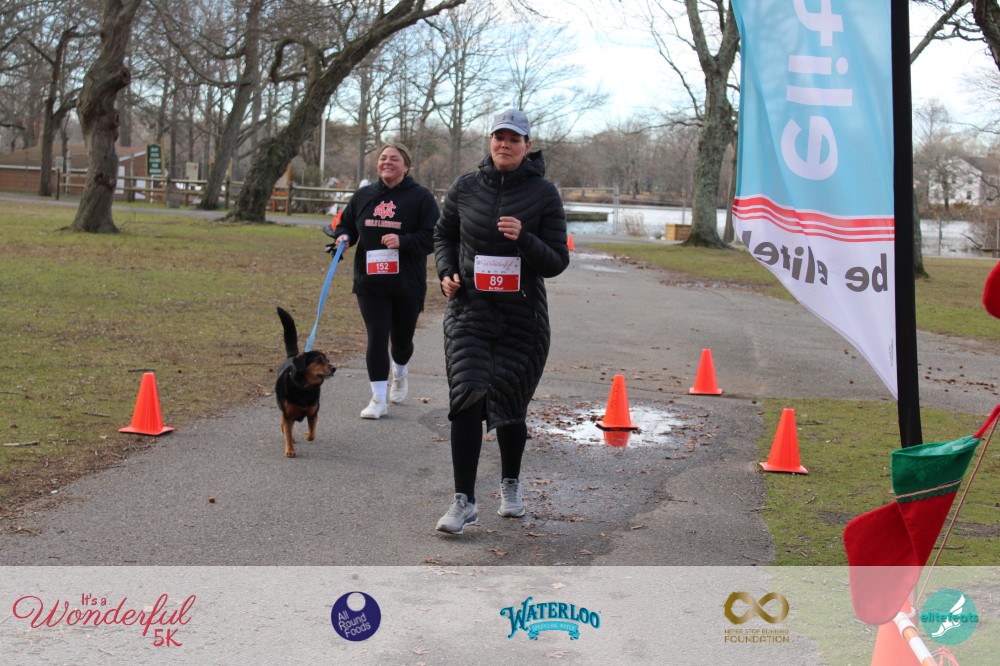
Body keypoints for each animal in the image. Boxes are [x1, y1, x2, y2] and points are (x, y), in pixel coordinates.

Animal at [275, 307, 335, 458]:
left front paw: (307, 436)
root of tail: (292, 356)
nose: (334, 368)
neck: (305, 388)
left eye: (328, 360)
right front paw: (290, 450)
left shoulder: (313, 414)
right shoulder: (288, 415)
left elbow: (312, 434)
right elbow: (288, 433)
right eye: (319, 360)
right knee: (285, 426)